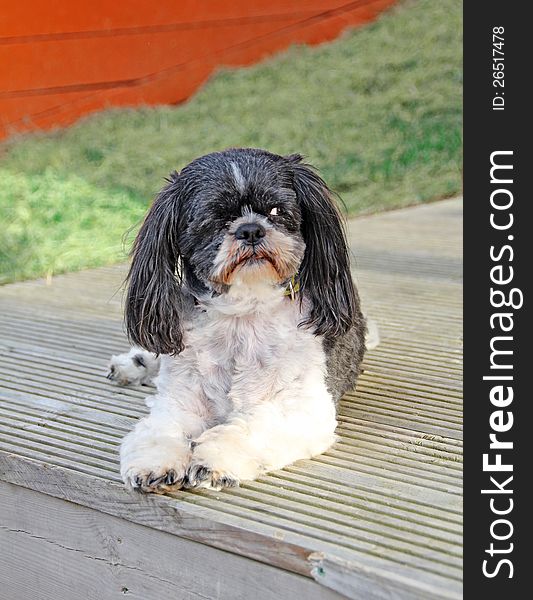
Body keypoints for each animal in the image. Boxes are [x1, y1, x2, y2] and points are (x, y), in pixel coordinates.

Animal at [111, 149, 370, 492]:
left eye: (276, 210)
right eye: (215, 218)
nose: (250, 229)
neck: (242, 315)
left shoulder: (304, 406)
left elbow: (254, 426)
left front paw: (214, 459)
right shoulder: (180, 401)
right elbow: (162, 429)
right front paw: (154, 463)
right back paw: (135, 363)